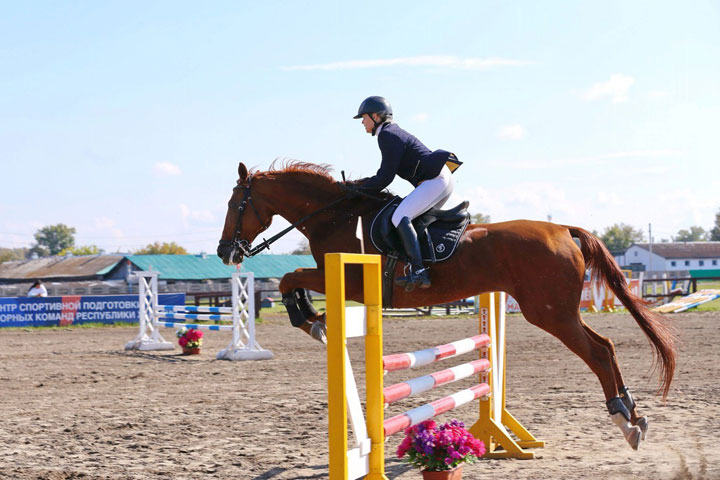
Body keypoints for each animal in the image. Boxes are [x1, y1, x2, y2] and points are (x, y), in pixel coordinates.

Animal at [215, 161, 676, 450]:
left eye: (236, 204)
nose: (225, 252)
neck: (335, 216)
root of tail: (563, 229)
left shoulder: (348, 280)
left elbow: (291, 278)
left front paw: (311, 320)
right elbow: (291, 280)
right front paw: (314, 318)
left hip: (550, 313)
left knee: (597, 352)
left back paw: (623, 419)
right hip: (558, 311)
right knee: (607, 346)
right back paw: (634, 415)